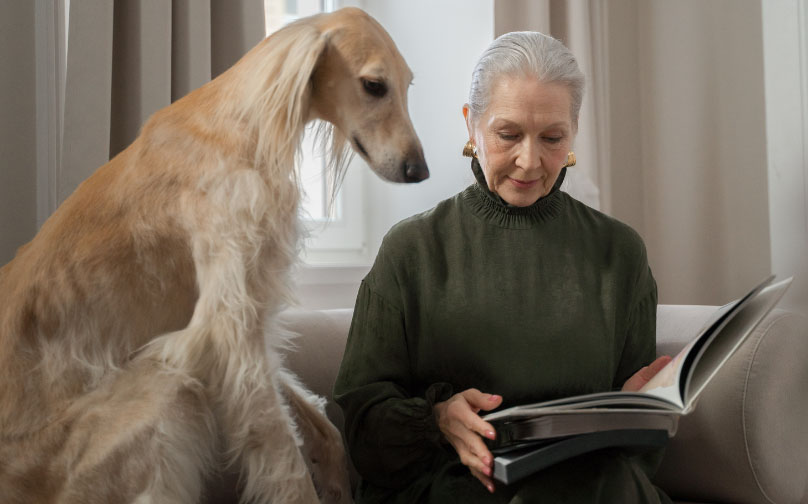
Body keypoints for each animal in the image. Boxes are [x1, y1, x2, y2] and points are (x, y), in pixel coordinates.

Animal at [0, 7, 430, 504]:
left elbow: (322, 428)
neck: (240, 124)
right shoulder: (227, 328)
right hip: (158, 393)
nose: (420, 171)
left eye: (408, 84)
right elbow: (283, 459)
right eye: (374, 85)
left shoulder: (246, 324)